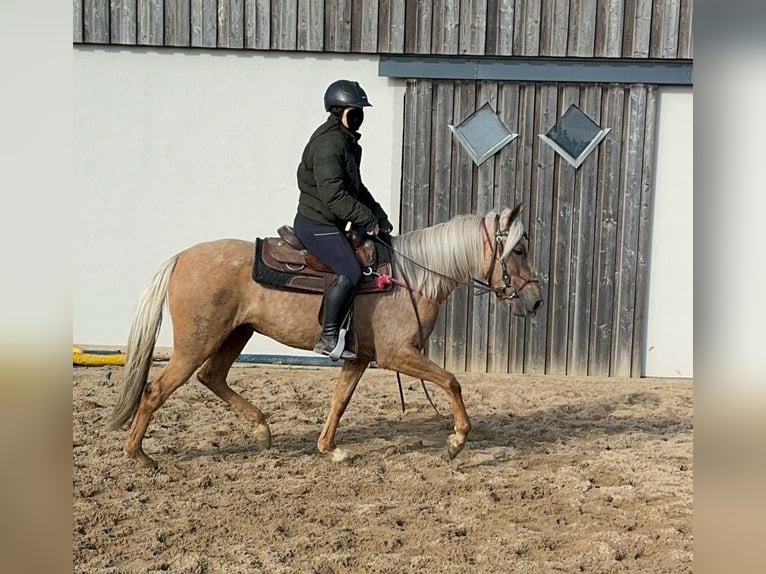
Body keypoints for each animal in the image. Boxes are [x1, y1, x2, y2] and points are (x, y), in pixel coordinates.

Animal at [108, 205, 544, 470]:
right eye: (519, 250)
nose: (537, 301)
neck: (413, 277)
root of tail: (180, 257)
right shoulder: (397, 355)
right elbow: (452, 382)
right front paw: (456, 441)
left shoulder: (360, 357)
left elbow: (340, 399)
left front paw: (329, 448)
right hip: (196, 343)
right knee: (156, 390)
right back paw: (138, 455)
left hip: (236, 334)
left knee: (212, 377)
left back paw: (261, 430)